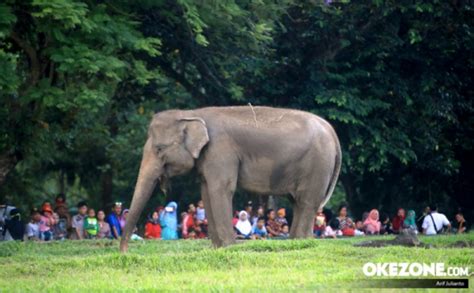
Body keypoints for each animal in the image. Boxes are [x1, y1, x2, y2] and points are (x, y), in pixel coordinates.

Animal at [118, 105, 340, 251]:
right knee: (298, 203)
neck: (191, 114)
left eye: (159, 148)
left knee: (306, 201)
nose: (124, 252)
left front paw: (229, 247)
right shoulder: (209, 157)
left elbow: (221, 188)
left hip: (318, 165)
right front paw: (217, 248)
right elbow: (206, 191)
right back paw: (296, 241)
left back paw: (301, 242)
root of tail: (332, 131)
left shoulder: (220, 150)